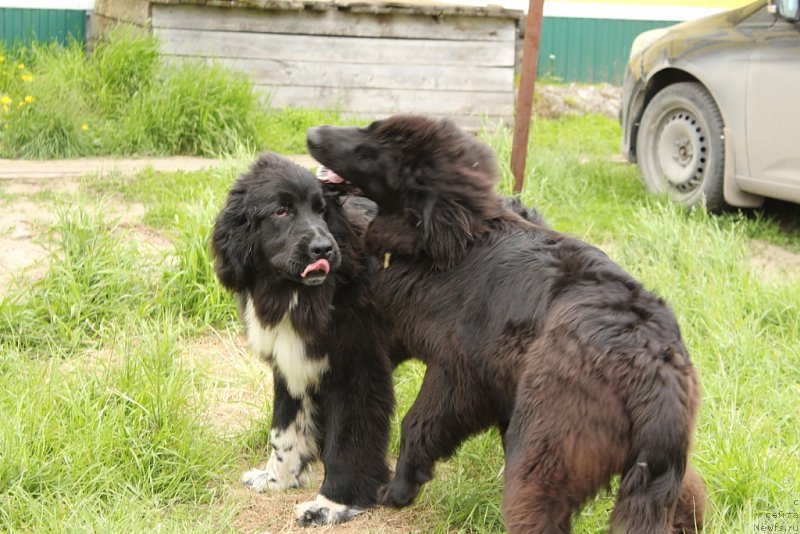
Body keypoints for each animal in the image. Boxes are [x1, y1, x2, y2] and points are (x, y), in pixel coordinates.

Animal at [211, 152, 396, 528]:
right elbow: (284, 430)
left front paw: (331, 504)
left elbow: (348, 442)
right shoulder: (291, 363)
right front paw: (276, 479)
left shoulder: (358, 369)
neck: (294, 293)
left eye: (321, 211)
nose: (323, 248)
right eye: (281, 211)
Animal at [306, 117, 708, 534]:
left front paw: (399, 490)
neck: (451, 238)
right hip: (657, 468)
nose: (312, 134)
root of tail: (653, 364)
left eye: (372, 145)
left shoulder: (456, 374)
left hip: (545, 450)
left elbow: (416, 424)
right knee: (685, 495)